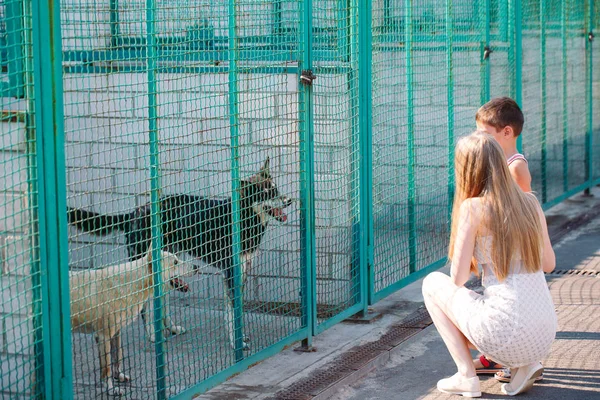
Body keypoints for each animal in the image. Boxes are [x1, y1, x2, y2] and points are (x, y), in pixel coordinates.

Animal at [67, 158, 292, 348]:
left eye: (276, 188)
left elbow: (235, 310)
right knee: (146, 306)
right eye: (266, 193)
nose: (289, 200)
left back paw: (171, 328)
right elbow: (232, 312)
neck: (244, 216)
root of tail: (132, 213)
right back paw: (152, 336)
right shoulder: (230, 273)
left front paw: (240, 335)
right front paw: (236, 342)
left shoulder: (243, 270)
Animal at [69, 248, 189, 396]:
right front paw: (111, 389)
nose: (196, 267)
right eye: (175, 262)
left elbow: (118, 357)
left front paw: (119, 376)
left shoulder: (116, 333)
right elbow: (107, 368)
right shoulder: (103, 337)